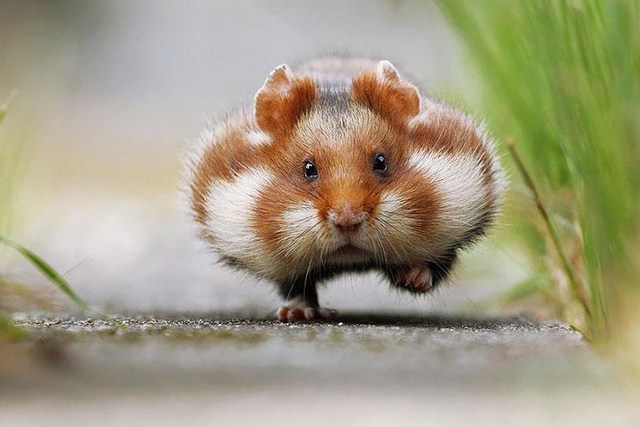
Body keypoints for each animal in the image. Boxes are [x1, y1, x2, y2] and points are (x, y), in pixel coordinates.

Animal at [185, 57, 506, 321]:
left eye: (381, 162)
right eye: (308, 169)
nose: (347, 220)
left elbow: (434, 266)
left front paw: (412, 277)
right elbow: (296, 285)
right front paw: (299, 313)